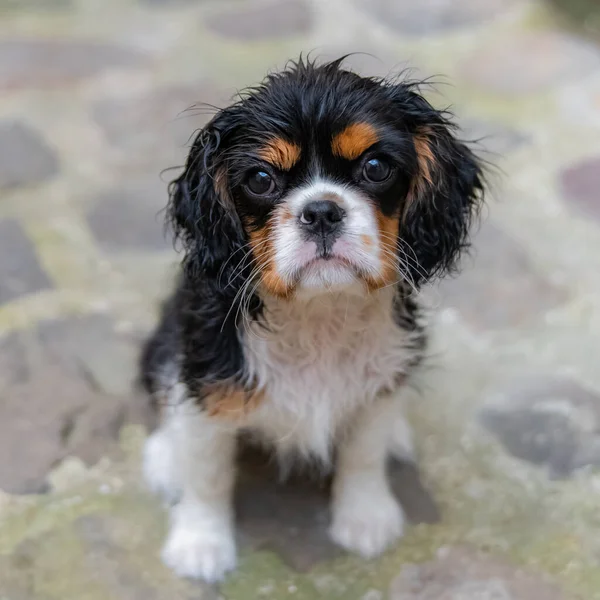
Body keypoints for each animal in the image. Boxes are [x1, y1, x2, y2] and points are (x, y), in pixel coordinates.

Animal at [139, 56, 482, 580]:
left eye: (375, 167)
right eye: (261, 179)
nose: (321, 211)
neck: (319, 310)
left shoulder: (381, 375)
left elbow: (363, 455)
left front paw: (366, 518)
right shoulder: (210, 379)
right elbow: (207, 474)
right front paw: (200, 543)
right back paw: (164, 457)